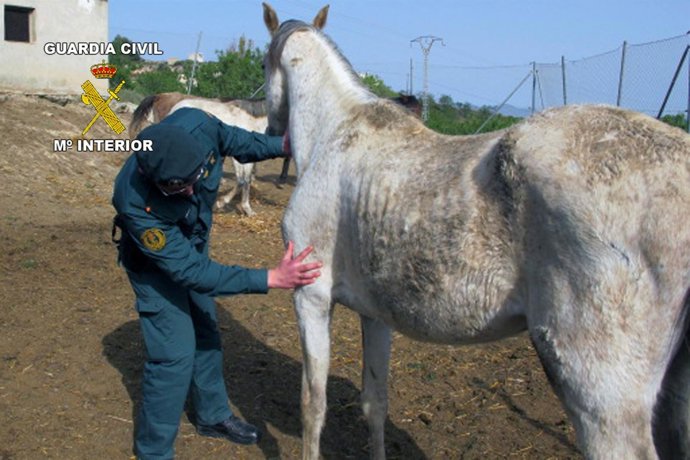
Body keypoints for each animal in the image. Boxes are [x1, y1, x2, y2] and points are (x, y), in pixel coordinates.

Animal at [261, 3, 690, 459]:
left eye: (263, 64)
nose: (272, 131)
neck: (335, 133)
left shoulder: (311, 295)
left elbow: (313, 404)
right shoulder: (374, 313)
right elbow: (373, 403)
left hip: (600, 397)